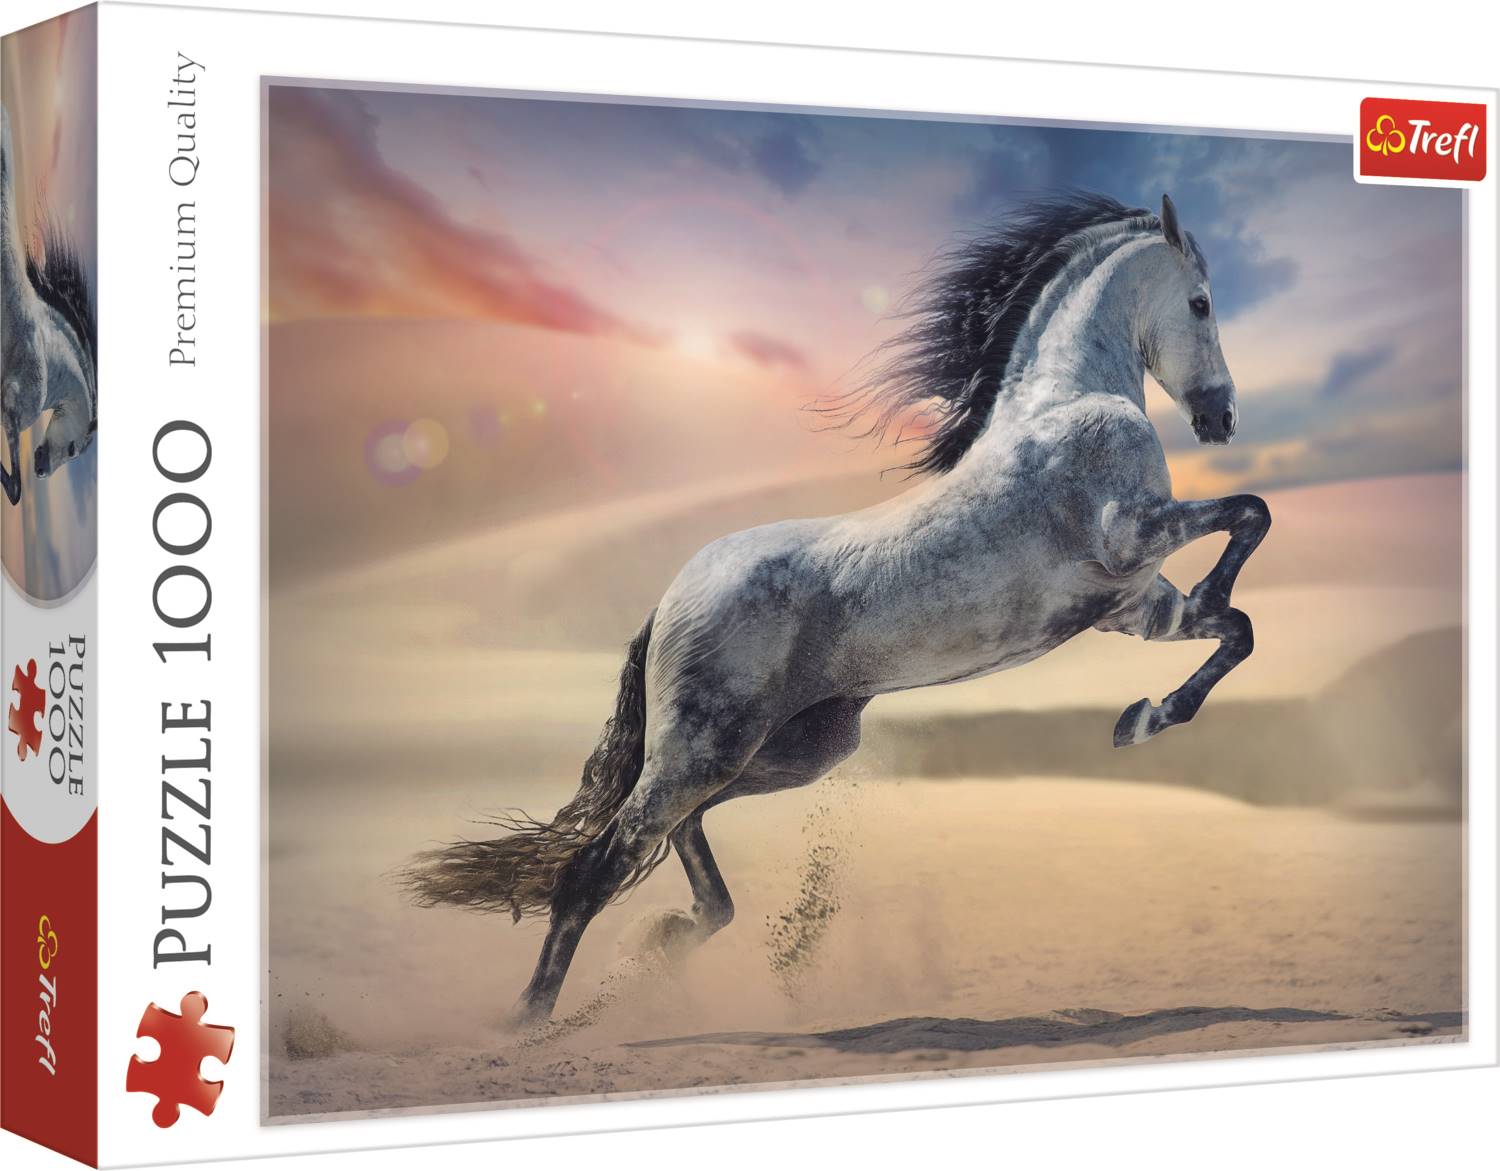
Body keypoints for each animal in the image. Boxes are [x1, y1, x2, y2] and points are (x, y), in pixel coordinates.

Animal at [401, 190, 1271, 1025]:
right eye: (1201, 303)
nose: (1222, 418)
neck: (1066, 404)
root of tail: (669, 598)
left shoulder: (1131, 601)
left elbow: (1236, 627)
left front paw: (1143, 717)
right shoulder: (1132, 537)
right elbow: (1251, 514)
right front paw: (1165, 681)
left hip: (788, 750)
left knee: (681, 835)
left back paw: (670, 934)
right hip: (705, 748)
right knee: (598, 864)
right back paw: (532, 1018)